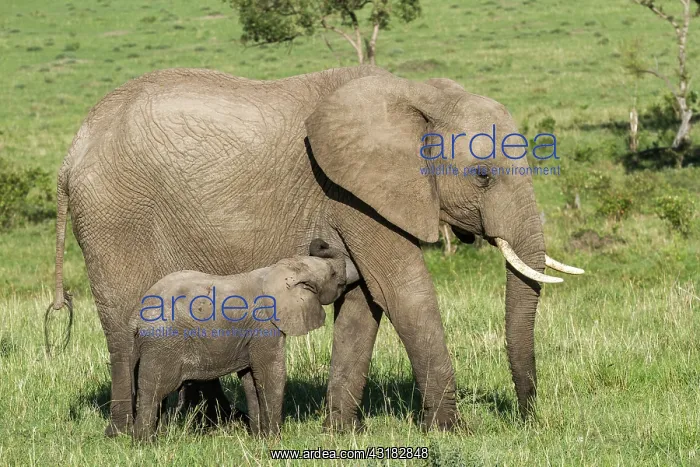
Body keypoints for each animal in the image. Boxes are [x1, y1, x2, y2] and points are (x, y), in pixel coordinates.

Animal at [128, 239, 357, 441]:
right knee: (154, 392)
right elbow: (270, 374)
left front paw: (258, 438)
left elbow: (250, 380)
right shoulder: (266, 326)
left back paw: (156, 438)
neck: (278, 271)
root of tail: (136, 317)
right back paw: (144, 443)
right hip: (163, 345)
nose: (321, 242)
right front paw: (274, 440)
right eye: (333, 274)